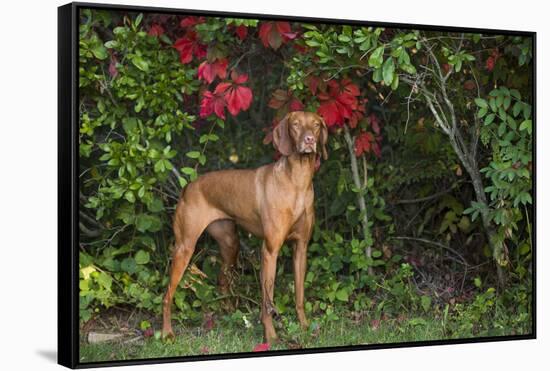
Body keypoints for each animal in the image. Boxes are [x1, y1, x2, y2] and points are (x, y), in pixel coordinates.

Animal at [162, 112, 330, 344]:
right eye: (295, 124)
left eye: (315, 125)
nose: (309, 140)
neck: (297, 182)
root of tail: (188, 186)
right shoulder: (270, 251)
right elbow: (267, 302)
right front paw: (271, 337)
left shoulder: (301, 248)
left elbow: (299, 295)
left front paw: (304, 327)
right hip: (184, 247)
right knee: (167, 294)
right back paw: (167, 333)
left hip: (230, 244)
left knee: (222, 280)